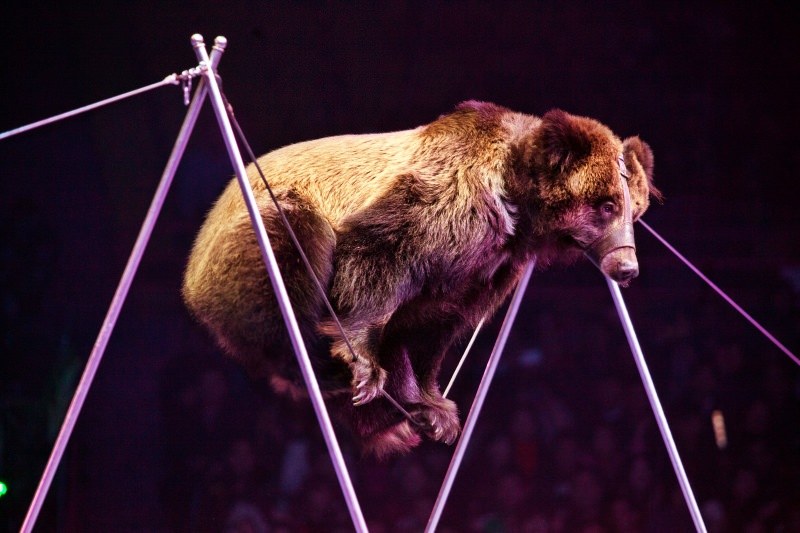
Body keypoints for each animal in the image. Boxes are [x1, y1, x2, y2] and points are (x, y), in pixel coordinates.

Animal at [181, 101, 656, 458]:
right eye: (607, 205)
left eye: (635, 210)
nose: (627, 268)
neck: (515, 207)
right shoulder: (443, 201)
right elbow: (378, 260)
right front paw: (363, 363)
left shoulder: (490, 266)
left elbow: (435, 323)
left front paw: (434, 406)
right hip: (253, 234)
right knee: (289, 254)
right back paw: (322, 372)